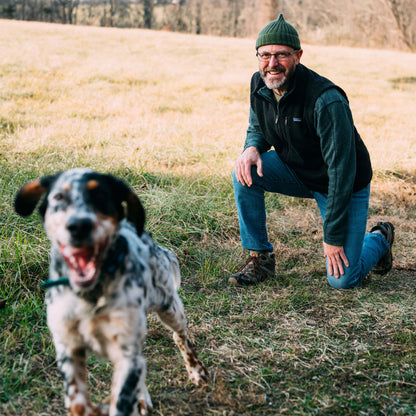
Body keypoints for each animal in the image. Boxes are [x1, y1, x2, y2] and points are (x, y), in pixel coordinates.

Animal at [15, 167, 210, 414]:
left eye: (102, 196)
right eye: (59, 197)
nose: (79, 225)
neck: (91, 295)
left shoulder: (126, 352)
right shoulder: (69, 350)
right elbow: (79, 403)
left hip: (170, 308)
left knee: (181, 337)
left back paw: (196, 370)